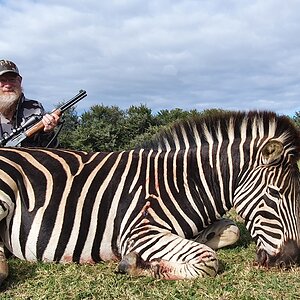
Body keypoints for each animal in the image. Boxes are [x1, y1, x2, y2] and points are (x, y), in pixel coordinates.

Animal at [0, 110, 298, 284]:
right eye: (275, 193)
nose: (291, 260)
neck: (182, 183)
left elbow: (230, 231)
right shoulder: (140, 230)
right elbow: (207, 260)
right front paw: (145, 265)